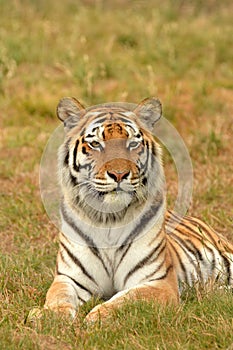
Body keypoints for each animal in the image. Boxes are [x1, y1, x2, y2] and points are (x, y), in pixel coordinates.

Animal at [44, 96, 233, 322]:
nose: (119, 174)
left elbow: (127, 299)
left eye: (132, 143)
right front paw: (50, 317)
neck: (109, 220)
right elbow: (58, 295)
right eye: (96, 144)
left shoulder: (158, 282)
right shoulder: (70, 278)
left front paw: (95, 317)